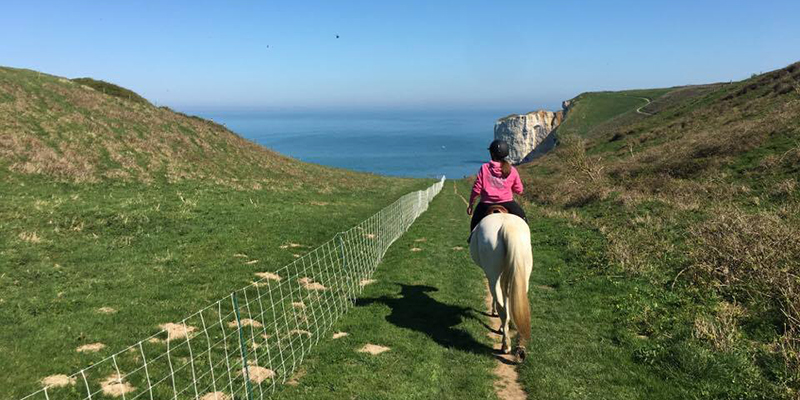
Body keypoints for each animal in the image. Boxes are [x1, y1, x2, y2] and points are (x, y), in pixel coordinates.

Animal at [468, 212, 532, 360]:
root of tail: (507, 225)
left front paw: (494, 312)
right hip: (524, 273)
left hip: (493, 274)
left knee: (502, 308)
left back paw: (505, 345)